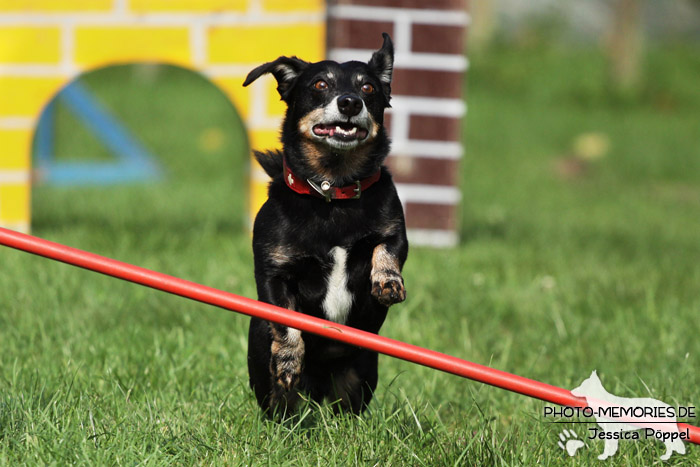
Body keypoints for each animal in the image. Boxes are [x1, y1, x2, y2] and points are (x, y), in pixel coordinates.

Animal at [242, 34, 408, 418]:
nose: (349, 102)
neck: (333, 192)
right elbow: (287, 322)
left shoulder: (395, 231)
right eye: (320, 84)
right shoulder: (275, 273)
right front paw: (289, 358)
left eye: (368, 88)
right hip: (266, 377)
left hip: (361, 374)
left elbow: (385, 249)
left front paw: (387, 282)